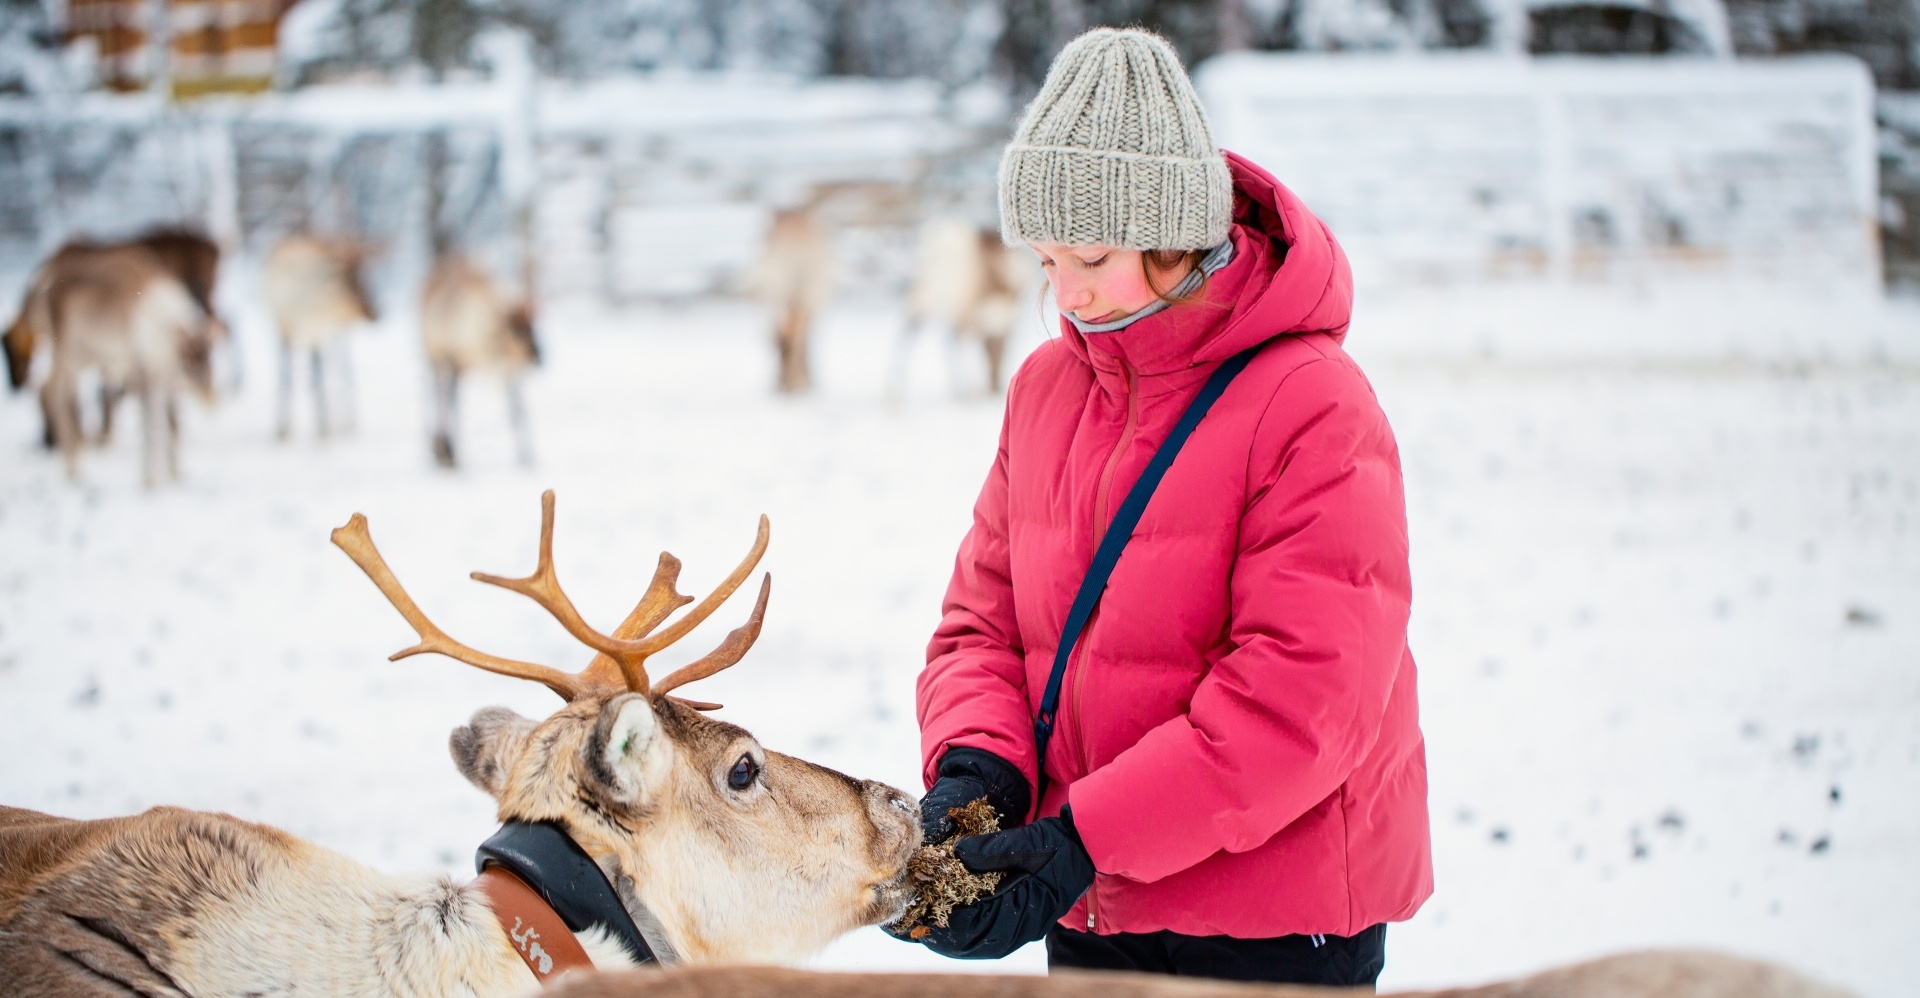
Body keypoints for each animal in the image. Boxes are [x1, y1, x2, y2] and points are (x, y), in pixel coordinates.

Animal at [262, 233, 379, 441]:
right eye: (352, 280)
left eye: (364, 276)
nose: (375, 312)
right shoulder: (287, 328)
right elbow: (290, 378)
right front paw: (283, 428)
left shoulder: (319, 330)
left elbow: (318, 378)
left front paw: (323, 426)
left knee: (339, 366)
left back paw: (342, 420)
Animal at [420, 252, 541, 468]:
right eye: (516, 331)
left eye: (533, 327)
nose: (539, 356)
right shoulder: (453, 356)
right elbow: (453, 403)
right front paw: (446, 450)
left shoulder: (505, 373)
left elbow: (517, 411)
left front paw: (527, 456)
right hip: (432, 352)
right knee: (434, 391)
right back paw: (440, 447)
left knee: (447, 392)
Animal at [890, 215, 1031, 400]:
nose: (994, 387)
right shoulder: (996, 317)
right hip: (958, 301)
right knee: (952, 337)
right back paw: (964, 389)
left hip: (925, 294)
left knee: (911, 330)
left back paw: (894, 392)